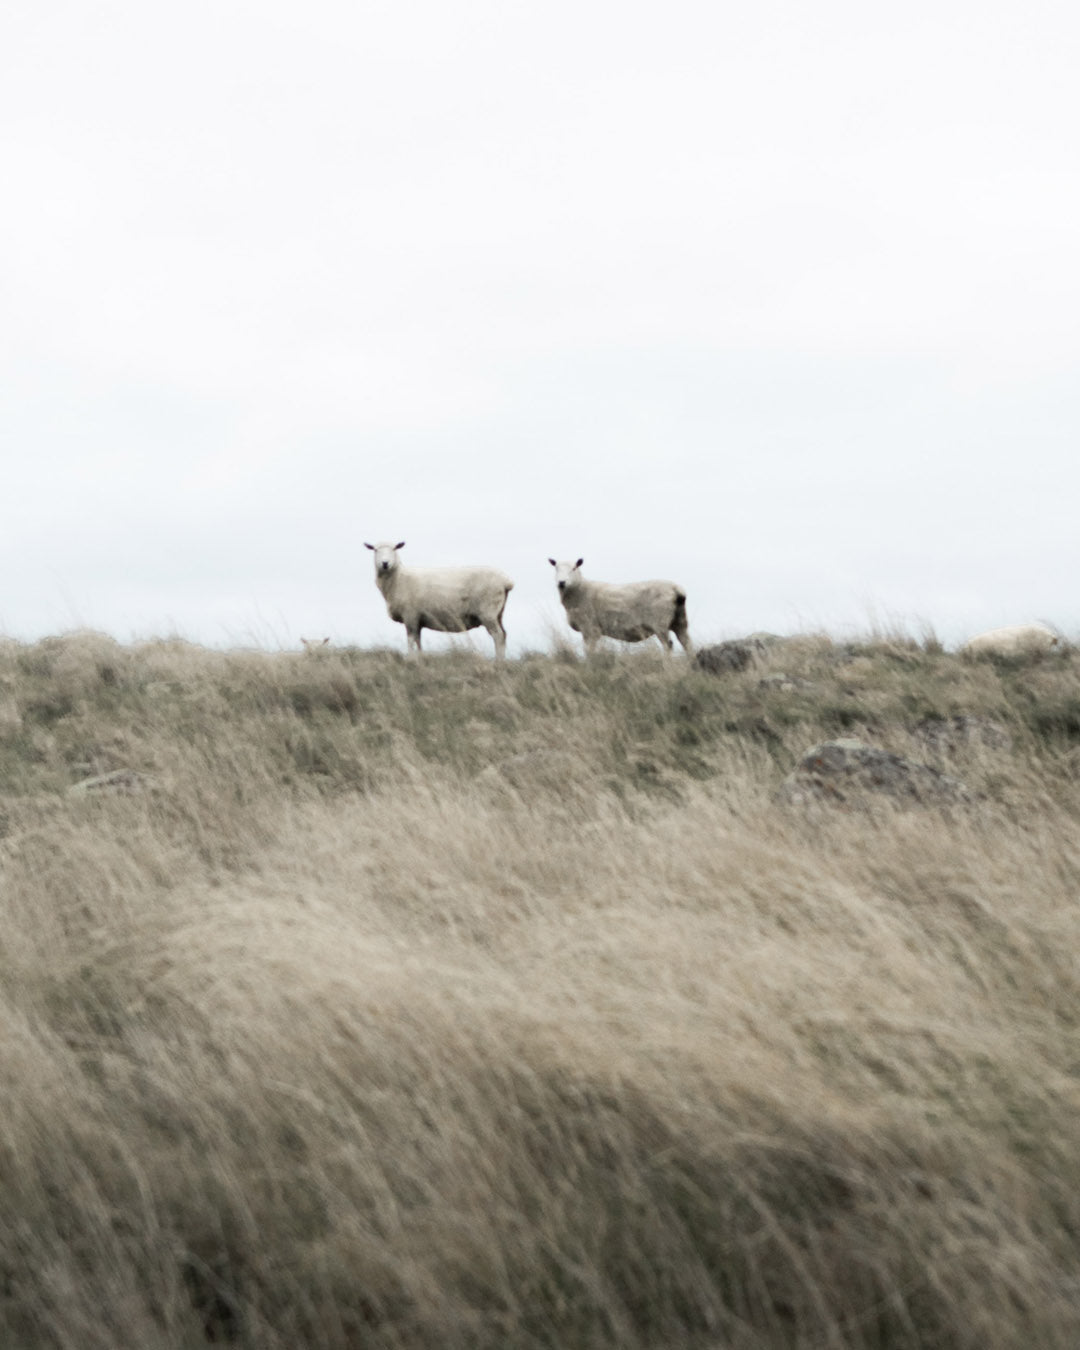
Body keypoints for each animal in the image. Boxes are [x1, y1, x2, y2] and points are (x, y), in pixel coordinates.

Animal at [361, 542, 515, 658]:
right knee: (504, 634)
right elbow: (418, 641)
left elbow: (410, 640)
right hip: (498, 613)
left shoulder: (410, 615)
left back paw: (498, 661)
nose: (385, 563)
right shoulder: (418, 619)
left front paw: (410, 659)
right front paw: (420, 658)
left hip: (487, 612)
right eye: (375, 550)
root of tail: (506, 581)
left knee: (498, 635)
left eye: (394, 548)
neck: (398, 578)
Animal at [548, 556, 691, 656]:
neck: (580, 590)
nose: (561, 582)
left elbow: (589, 651)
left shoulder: (590, 628)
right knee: (686, 643)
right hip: (679, 620)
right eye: (556, 568)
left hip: (660, 623)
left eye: (574, 568)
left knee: (668, 645)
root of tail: (676, 589)